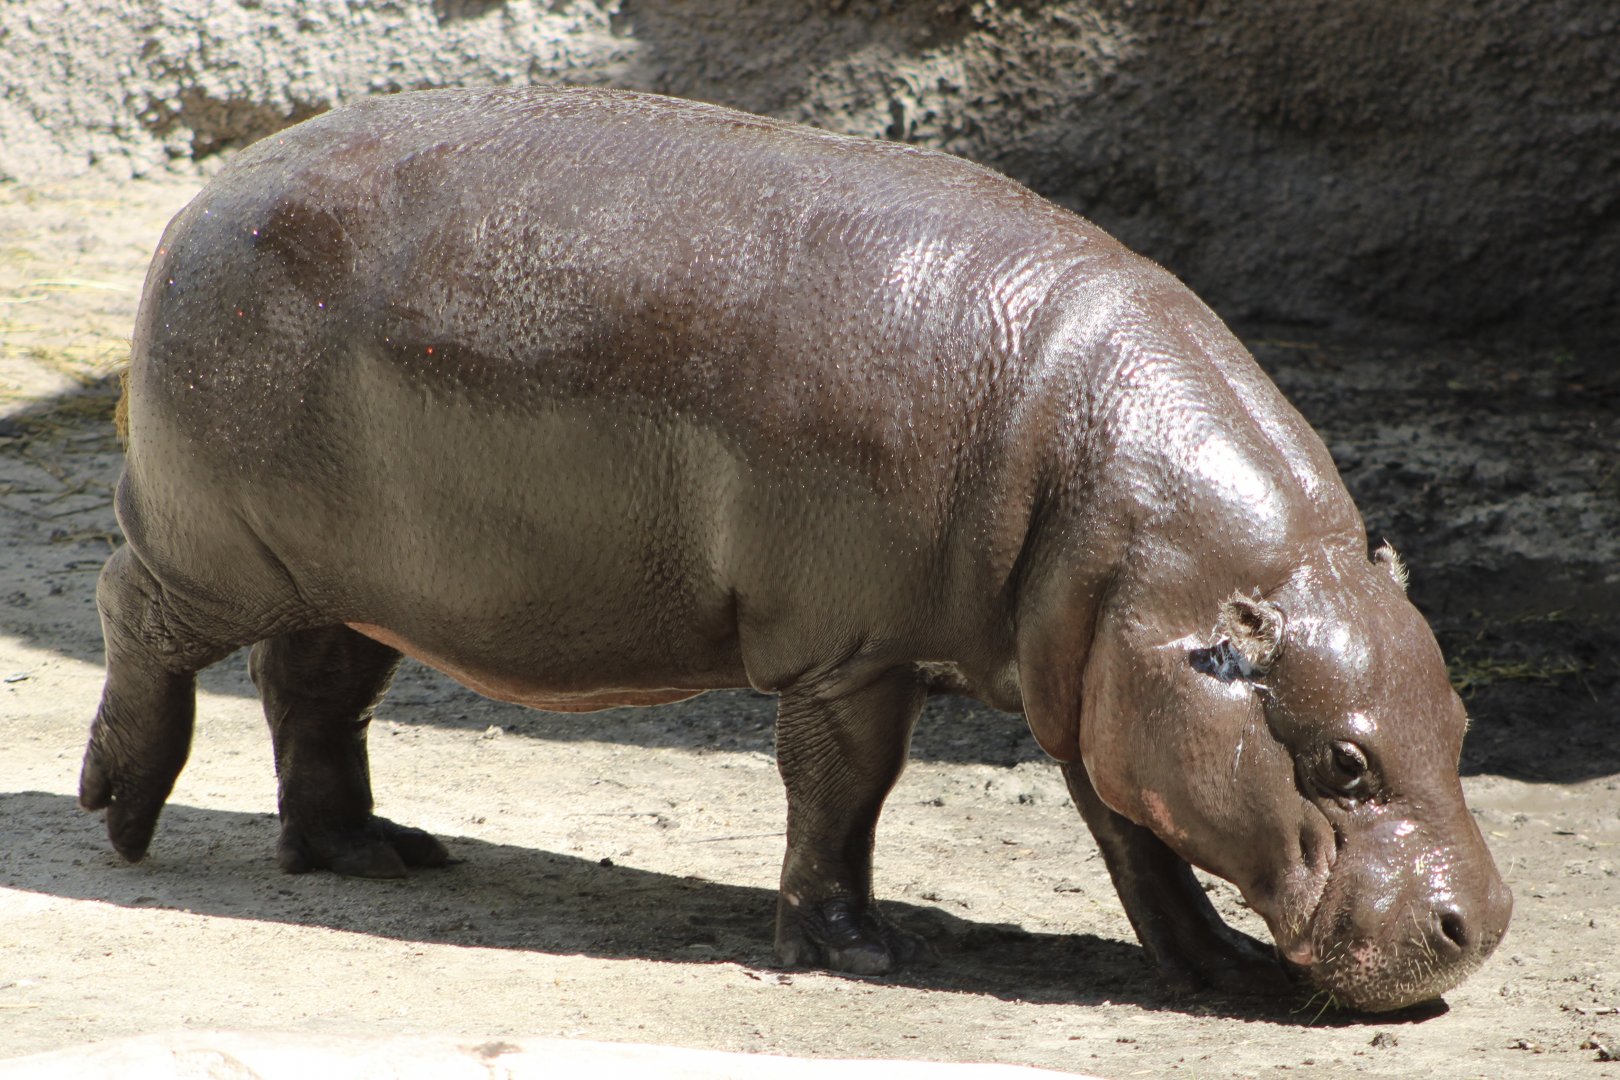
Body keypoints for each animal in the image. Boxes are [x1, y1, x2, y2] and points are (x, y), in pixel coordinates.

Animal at [82, 86, 1509, 1012]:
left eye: (1460, 726)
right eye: (1342, 763)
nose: (1483, 924)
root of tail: (206, 194)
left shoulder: (1110, 681)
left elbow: (1137, 838)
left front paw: (1222, 973)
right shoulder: (852, 648)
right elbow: (844, 789)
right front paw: (860, 952)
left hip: (356, 574)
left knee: (312, 688)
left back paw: (371, 852)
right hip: (214, 546)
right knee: (136, 617)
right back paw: (122, 817)